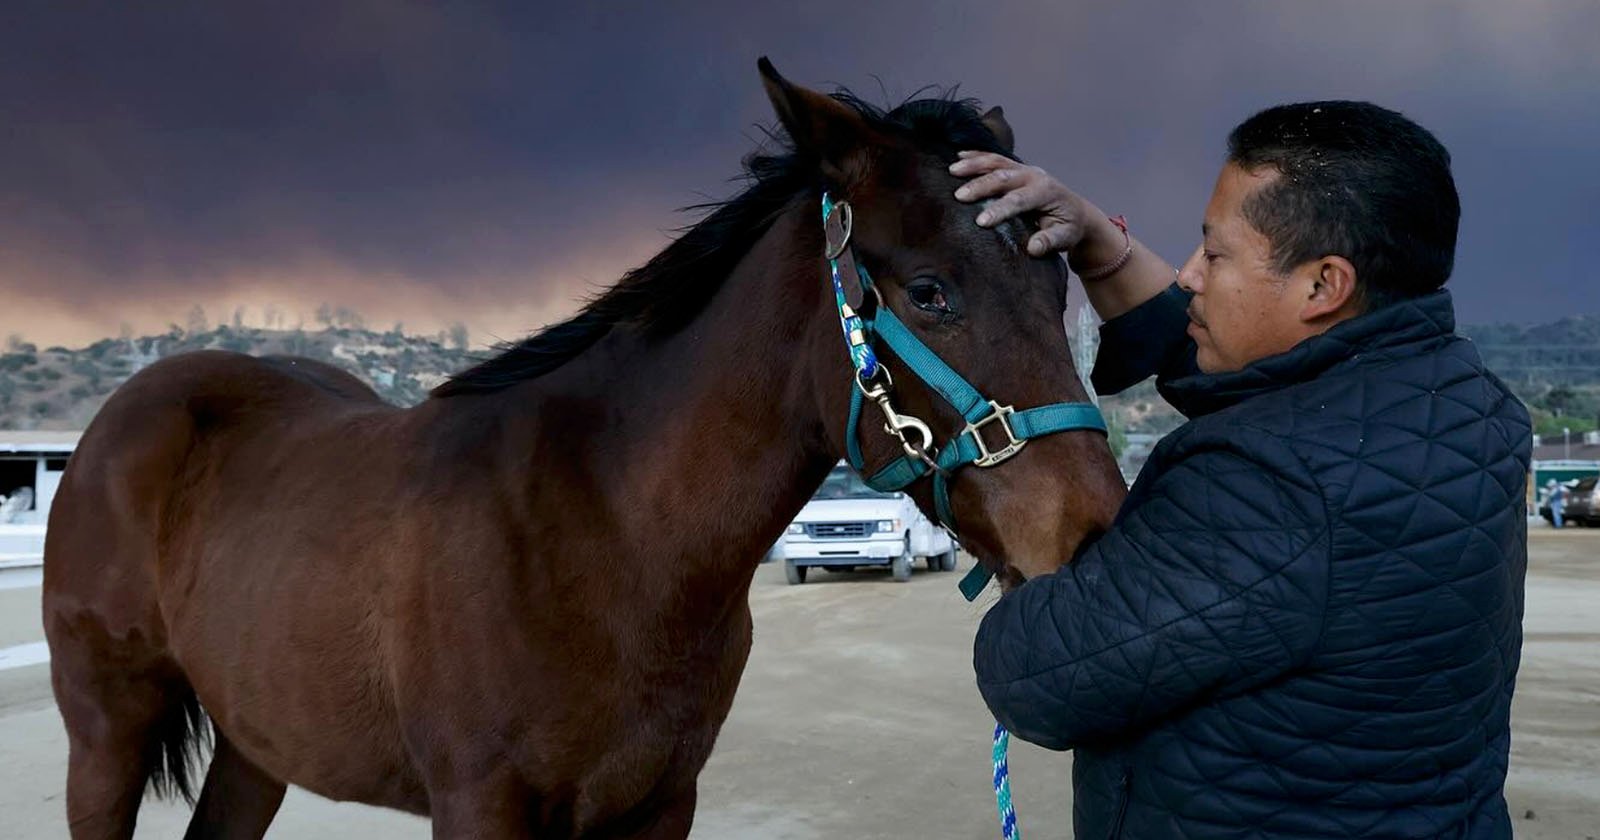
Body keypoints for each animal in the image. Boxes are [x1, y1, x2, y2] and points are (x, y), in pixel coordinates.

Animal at [43, 60, 1120, 838]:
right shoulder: (480, 805)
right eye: (931, 291)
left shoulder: (659, 802)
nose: (1094, 533)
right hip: (105, 735)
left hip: (257, 740)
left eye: (1058, 278)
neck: (607, 533)